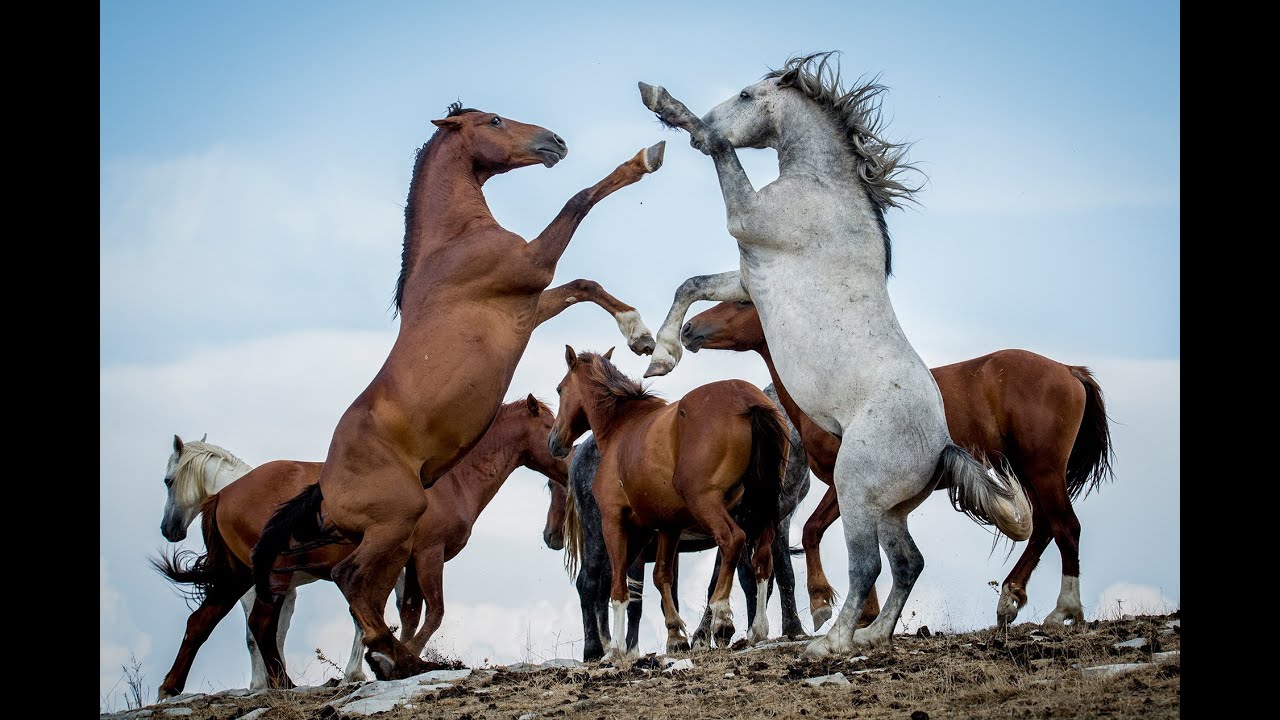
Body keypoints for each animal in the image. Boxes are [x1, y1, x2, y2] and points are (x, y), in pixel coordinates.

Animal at [155, 396, 567, 696]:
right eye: (550, 425)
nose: (169, 529)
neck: (449, 480)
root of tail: (223, 494)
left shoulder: (407, 564)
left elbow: (407, 614)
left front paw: (392, 659)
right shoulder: (427, 555)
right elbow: (431, 614)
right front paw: (397, 660)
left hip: (238, 575)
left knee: (203, 622)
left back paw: (173, 687)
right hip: (269, 577)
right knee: (259, 625)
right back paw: (280, 683)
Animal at [251, 101, 664, 680]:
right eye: (493, 121)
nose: (555, 142)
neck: (453, 244)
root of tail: (326, 487)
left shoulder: (532, 302)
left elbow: (584, 284)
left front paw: (641, 336)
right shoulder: (532, 267)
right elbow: (580, 202)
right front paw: (646, 159)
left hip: (387, 542)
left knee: (356, 594)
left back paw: (395, 658)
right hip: (397, 526)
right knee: (351, 583)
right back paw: (399, 658)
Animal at [546, 348, 789, 660]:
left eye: (559, 389)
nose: (554, 441)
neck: (620, 428)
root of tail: (747, 399)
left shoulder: (615, 521)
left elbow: (618, 587)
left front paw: (617, 649)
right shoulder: (667, 526)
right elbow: (661, 577)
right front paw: (675, 637)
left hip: (706, 504)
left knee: (732, 540)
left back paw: (721, 617)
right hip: (764, 507)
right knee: (762, 559)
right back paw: (758, 628)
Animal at [636, 52, 1033, 657]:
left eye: (747, 95)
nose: (702, 130)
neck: (824, 189)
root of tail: (941, 445)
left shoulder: (747, 221)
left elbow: (725, 161)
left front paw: (672, 108)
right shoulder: (747, 276)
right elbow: (691, 285)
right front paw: (660, 354)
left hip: (855, 492)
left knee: (867, 565)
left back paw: (832, 641)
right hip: (889, 509)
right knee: (907, 563)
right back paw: (872, 634)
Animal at [683, 300, 1116, 628]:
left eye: (742, 303)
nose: (689, 328)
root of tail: (1068, 371)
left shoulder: (845, 486)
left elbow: (812, 532)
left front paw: (825, 602)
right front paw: (867, 613)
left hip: (1042, 471)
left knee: (1066, 527)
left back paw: (1063, 611)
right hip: (1027, 473)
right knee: (1044, 527)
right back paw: (1010, 598)